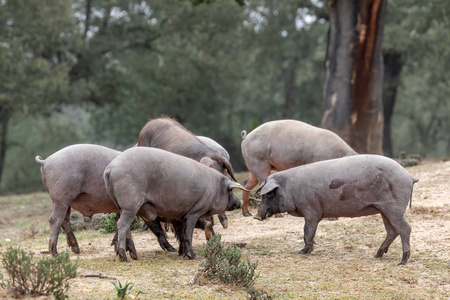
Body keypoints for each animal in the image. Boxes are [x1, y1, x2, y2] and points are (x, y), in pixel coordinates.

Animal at [35, 144, 178, 256]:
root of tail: (46, 161)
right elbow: (155, 226)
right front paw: (172, 249)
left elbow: (119, 223)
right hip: (61, 197)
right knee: (54, 220)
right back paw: (55, 253)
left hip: (66, 201)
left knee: (65, 220)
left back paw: (76, 249)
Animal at [103, 146, 246, 262]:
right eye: (230, 190)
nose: (239, 201)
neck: (214, 187)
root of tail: (110, 168)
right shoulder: (194, 211)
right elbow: (188, 234)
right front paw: (194, 257)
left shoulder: (177, 215)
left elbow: (181, 234)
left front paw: (180, 254)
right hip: (130, 204)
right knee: (122, 225)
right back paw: (124, 258)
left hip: (120, 206)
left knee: (123, 225)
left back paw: (134, 256)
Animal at [253, 155, 418, 264]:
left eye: (269, 194)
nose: (256, 216)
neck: (290, 188)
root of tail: (409, 177)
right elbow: (309, 232)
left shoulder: (311, 210)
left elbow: (307, 231)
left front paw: (301, 252)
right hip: (383, 209)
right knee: (392, 231)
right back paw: (377, 255)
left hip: (393, 208)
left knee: (405, 229)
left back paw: (402, 261)